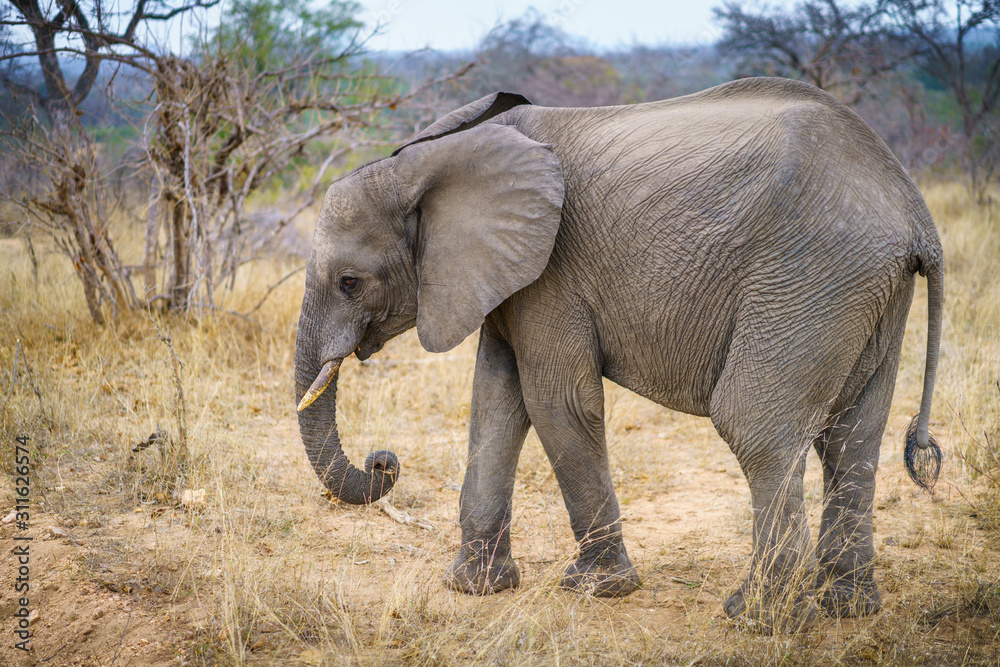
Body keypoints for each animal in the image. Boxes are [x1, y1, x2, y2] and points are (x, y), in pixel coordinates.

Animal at [292, 78, 940, 632]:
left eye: (349, 283)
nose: (383, 461)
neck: (427, 161)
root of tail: (914, 211)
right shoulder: (505, 279)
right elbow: (495, 403)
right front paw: (475, 588)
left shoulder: (553, 272)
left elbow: (556, 402)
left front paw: (597, 589)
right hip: (868, 290)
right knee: (852, 435)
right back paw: (847, 607)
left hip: (810, 276)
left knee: (755, 426)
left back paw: (757, 618)